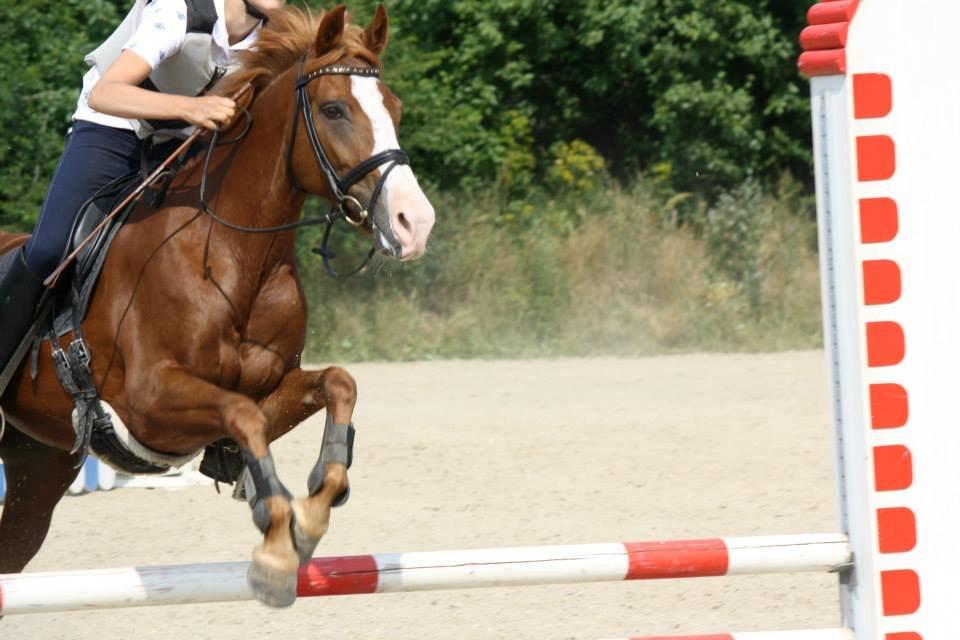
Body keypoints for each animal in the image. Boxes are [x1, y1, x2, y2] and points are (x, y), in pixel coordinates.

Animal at [0, 3, 436, 604]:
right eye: (334, 109)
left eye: (394, 108)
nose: (414, 223)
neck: (231, 252)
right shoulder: (151, 405)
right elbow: (241, 412)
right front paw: (276, 544)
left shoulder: (271, 386)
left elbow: (337, 383)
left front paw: (311, 512)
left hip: (37, 463)